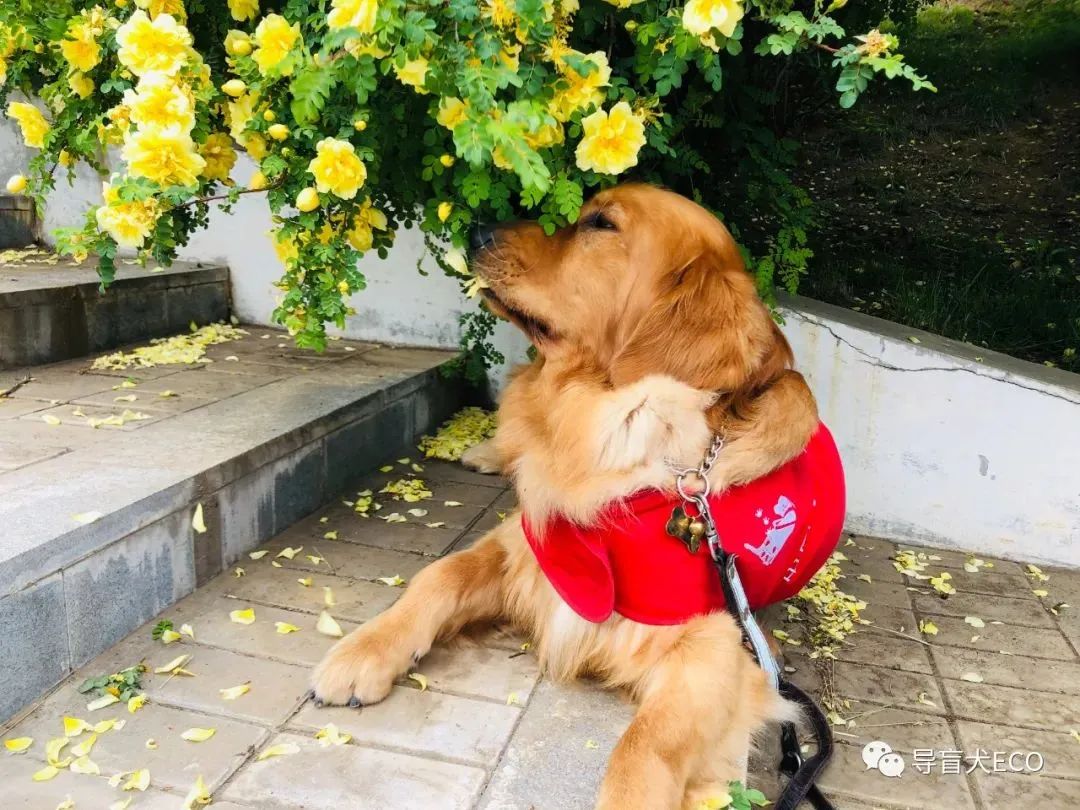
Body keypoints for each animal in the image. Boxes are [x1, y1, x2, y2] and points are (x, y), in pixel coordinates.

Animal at [312, 184, 843, 809]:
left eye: (601, 224)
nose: (478, 229)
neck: (612, 428)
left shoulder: (721, 644)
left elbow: (647, 743)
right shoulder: (531, 545)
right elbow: (438, 577)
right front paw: (362, 651)